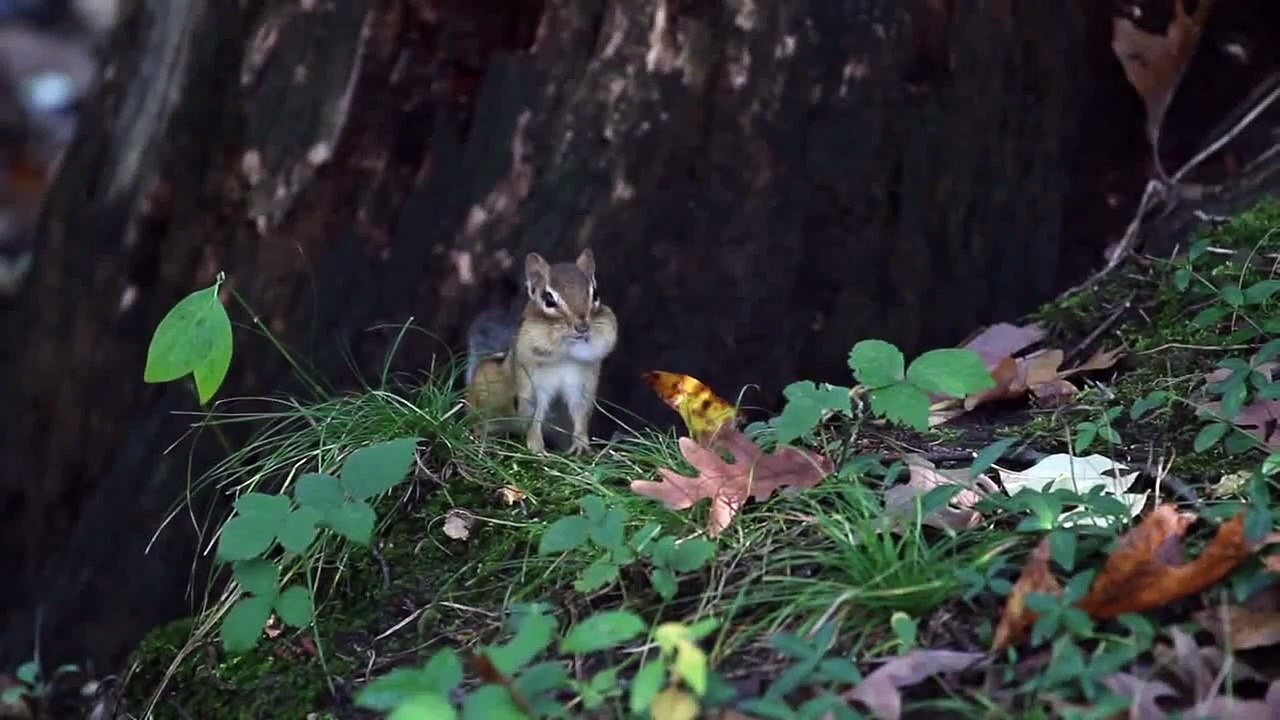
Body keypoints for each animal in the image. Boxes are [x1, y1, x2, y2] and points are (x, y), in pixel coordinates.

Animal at [464, 248, 619, 454]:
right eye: (549, 299)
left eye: (595, 295)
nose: (582, 327)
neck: (566, 353)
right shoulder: (532, 387)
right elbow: (534, 418)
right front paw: (537, 450)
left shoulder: (583, 384)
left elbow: (580, 414)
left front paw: (581, 446)